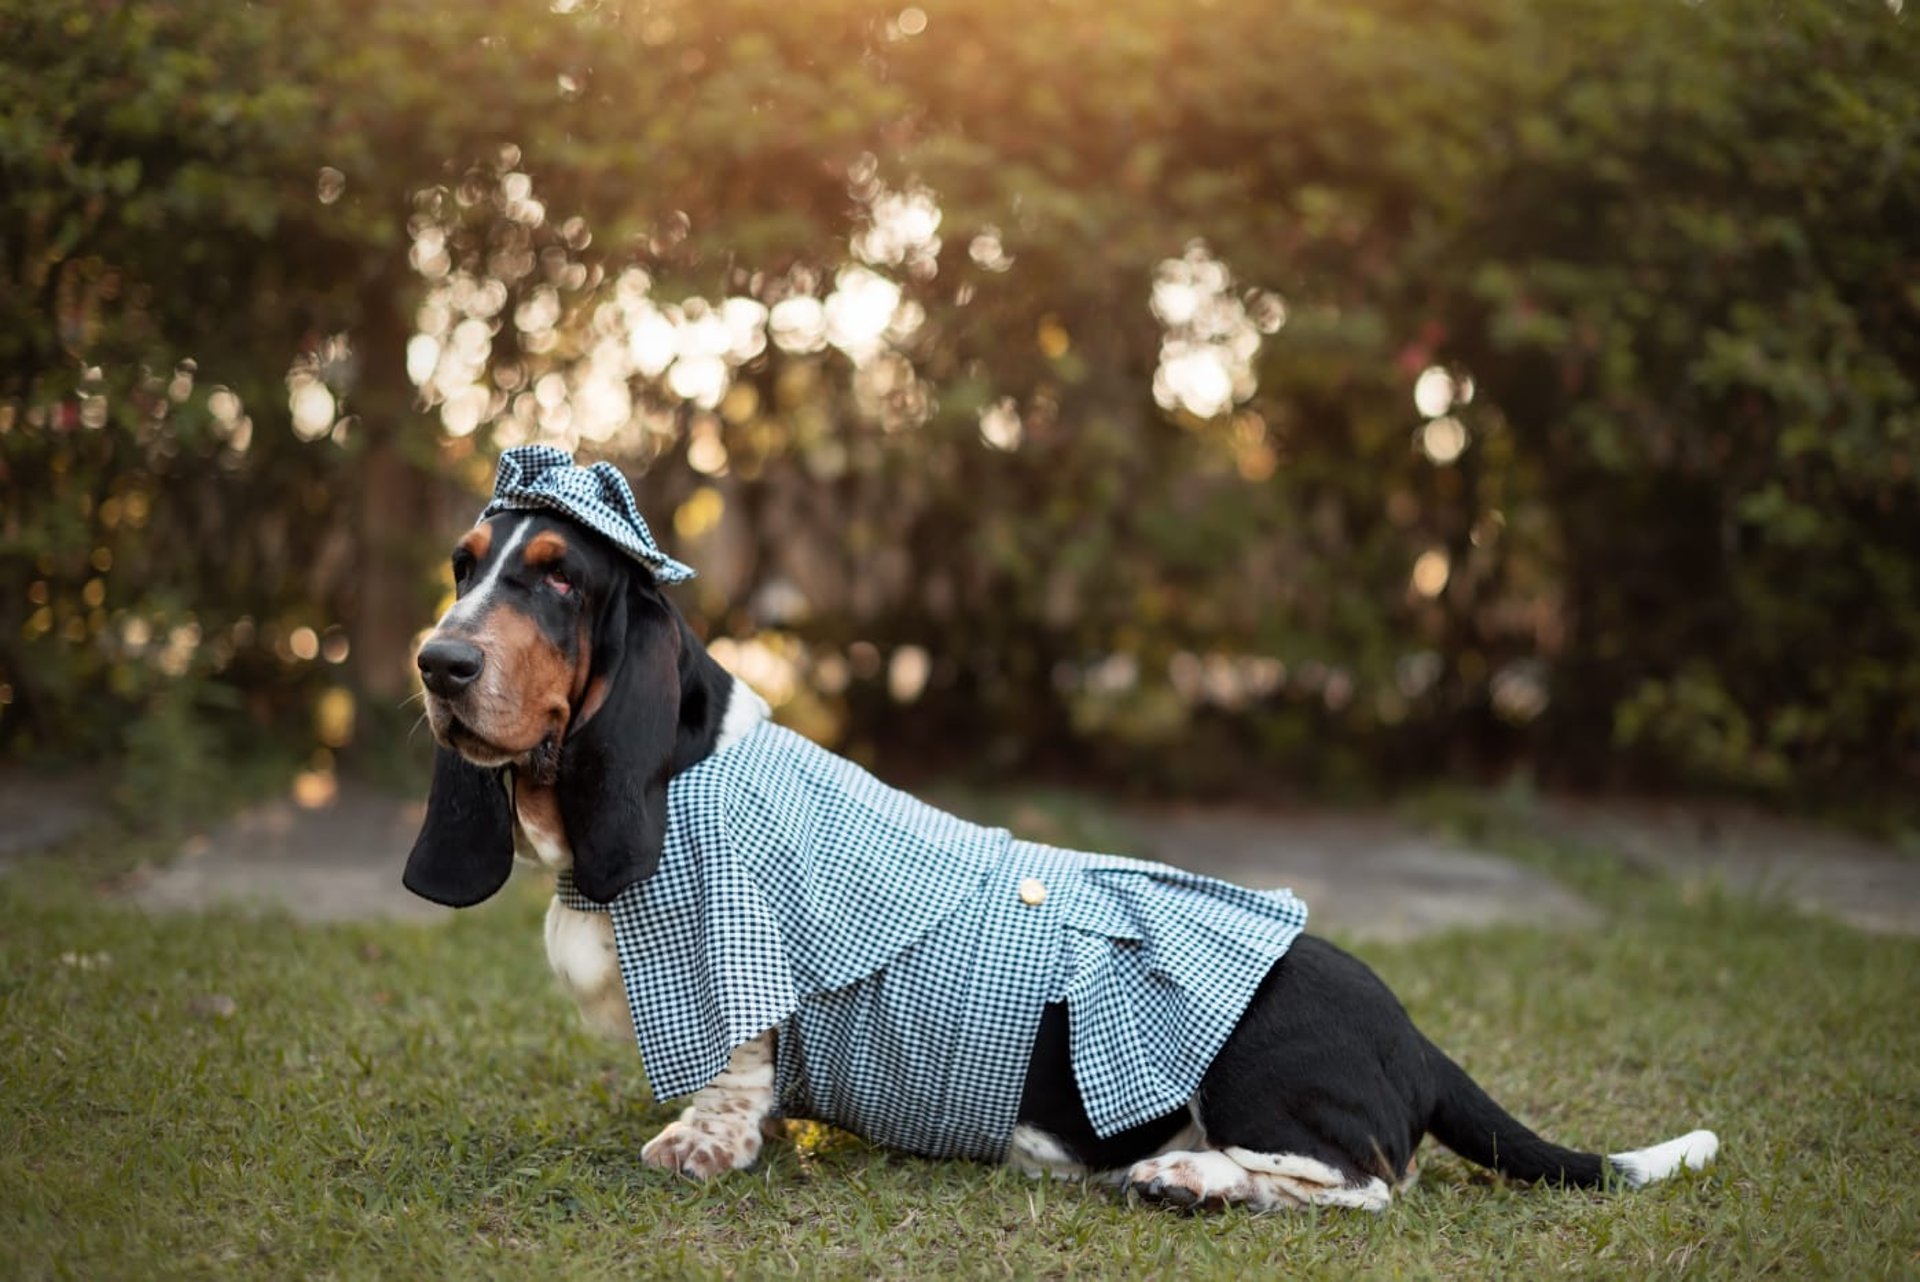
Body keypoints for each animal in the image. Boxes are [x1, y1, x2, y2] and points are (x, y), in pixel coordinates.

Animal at [397, 449, 1720, 1212]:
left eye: (559, 576)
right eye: (463, 565)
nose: (439, 663)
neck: (677, 773)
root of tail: (1416, 1038)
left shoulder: (746, 976)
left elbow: (734, 1071)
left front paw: (697, 1144)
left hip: (1255, 1065)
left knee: (1363, 1182)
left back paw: (1186, 1174)